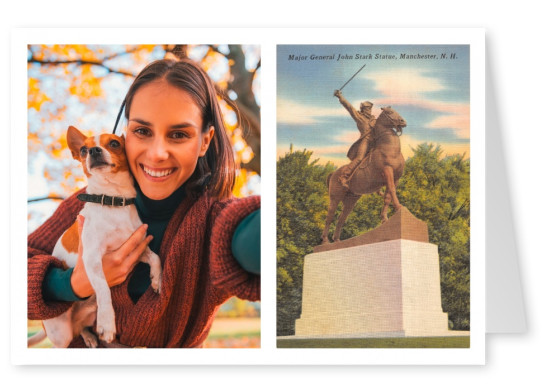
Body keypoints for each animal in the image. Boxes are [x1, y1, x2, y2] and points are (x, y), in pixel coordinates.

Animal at [29, 126, 161, 350]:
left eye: (115, 143)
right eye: (83, 150)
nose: (93, 151)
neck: (113, 200)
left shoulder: (137, 248)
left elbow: (156, 257)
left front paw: (157, 279)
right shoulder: (92, 259)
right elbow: (104, 289)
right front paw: (108, 324)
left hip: (88, 315)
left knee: (81, 327)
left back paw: (89, 336)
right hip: (61, 334)